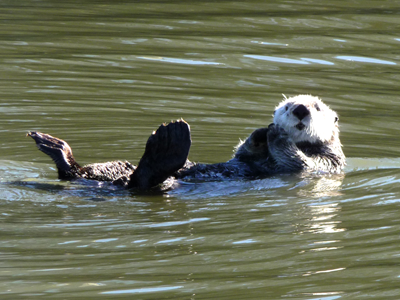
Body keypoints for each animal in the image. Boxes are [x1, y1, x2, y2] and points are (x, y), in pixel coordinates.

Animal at [28, 95, 346, 191]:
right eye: (288, 106)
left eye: (317, 107)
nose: (301, 109)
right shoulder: (247, 157)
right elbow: (244, 153)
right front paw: (260, 132)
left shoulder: (327, 161)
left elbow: (299, 161)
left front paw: (277, 136)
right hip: (112, 167)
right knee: (75, 172)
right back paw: (55, 147)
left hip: (147, 179)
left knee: (145, 180)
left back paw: (170, 139)